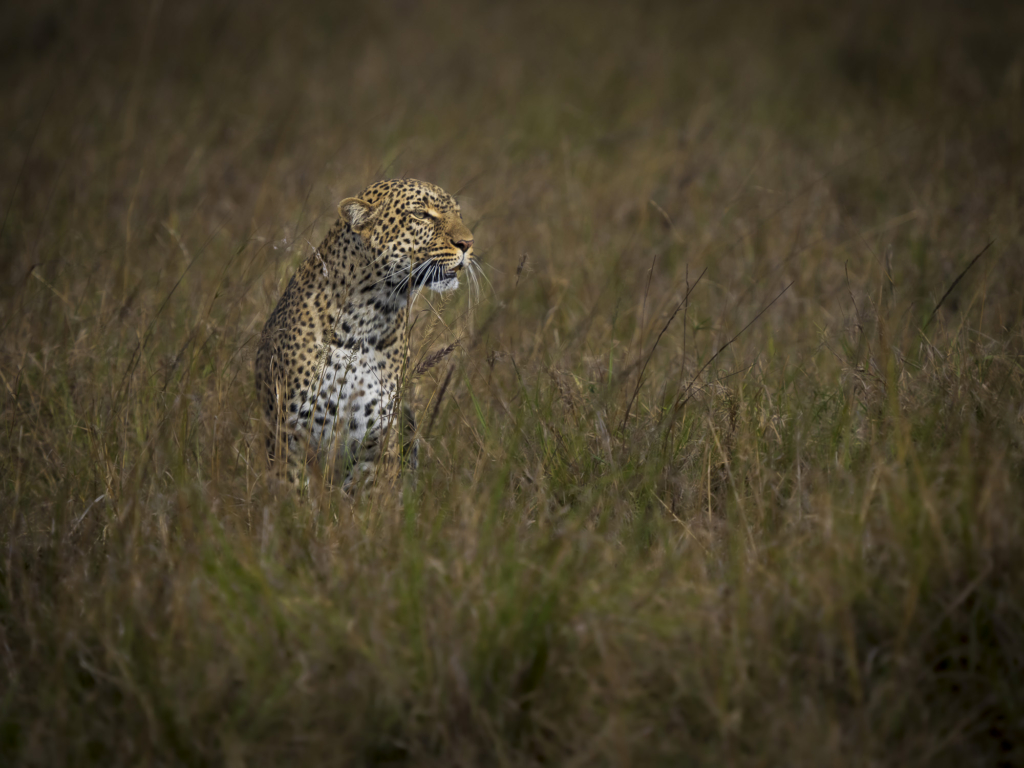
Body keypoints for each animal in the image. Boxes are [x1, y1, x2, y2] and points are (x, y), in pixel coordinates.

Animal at [256, 180, 479, 493]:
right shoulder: (289, 437)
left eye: (458, 214)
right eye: (422, 215)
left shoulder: (376, 441)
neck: (367, 320)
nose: (468, 244)